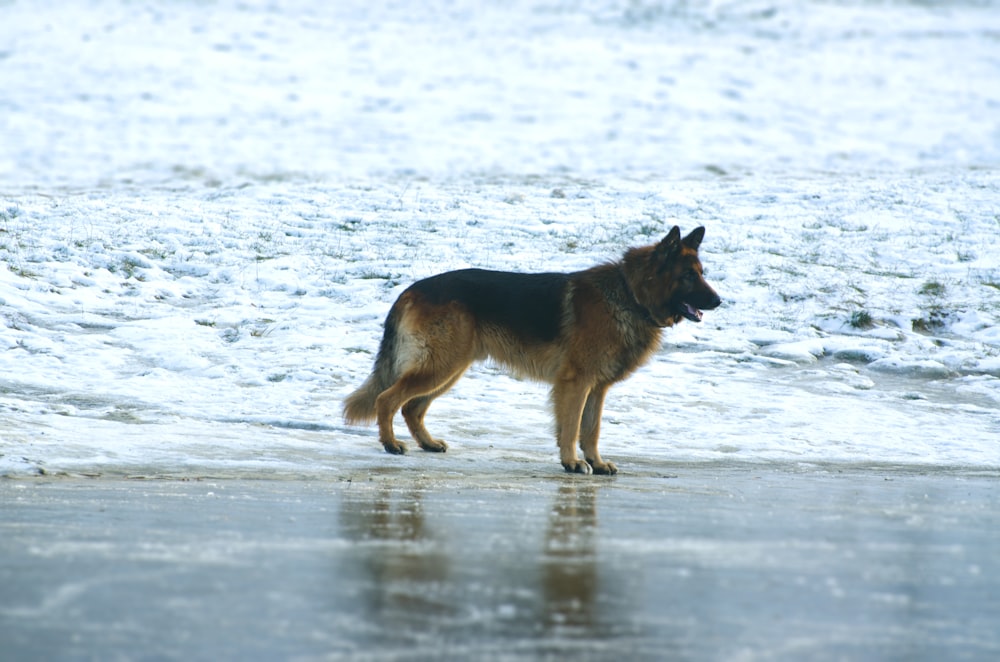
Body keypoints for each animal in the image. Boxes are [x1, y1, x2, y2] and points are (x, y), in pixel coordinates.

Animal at [344, 228, 720, 478]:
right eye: (688, 276)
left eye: (702, 274)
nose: (719, 301)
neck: (630, 294)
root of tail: (410, 289)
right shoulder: (576, 384)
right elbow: (572, 427)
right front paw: (572, 462)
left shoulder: (596, 389)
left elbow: (591, 429)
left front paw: (596, 462)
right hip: (441, 366)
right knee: (387, 400)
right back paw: (391, 444)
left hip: (449, 369)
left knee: (412, 407)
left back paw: (428, 443)